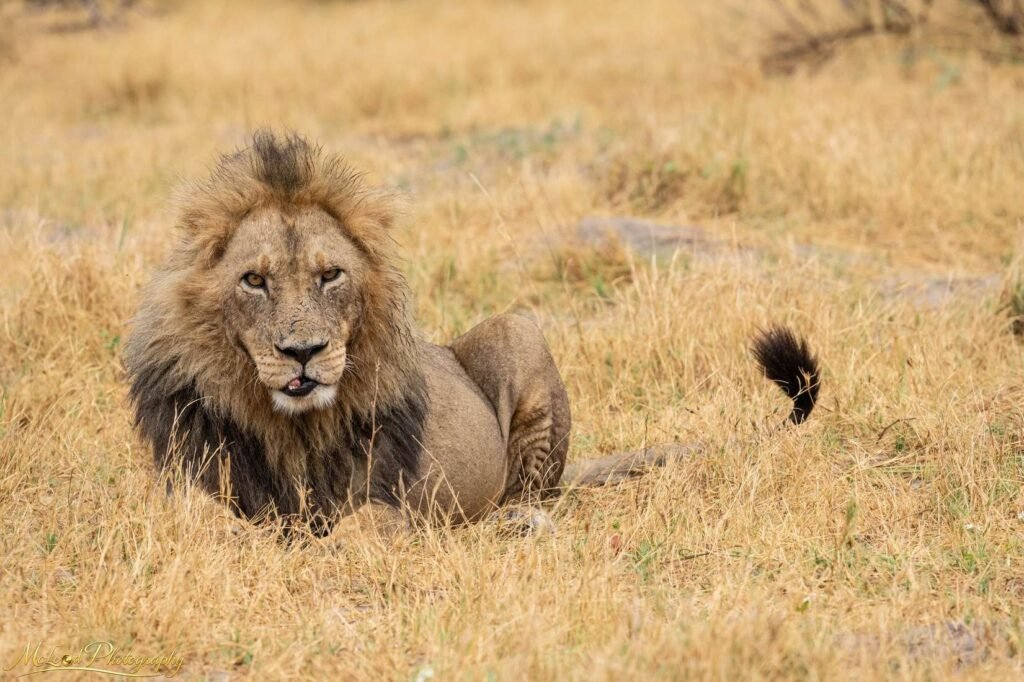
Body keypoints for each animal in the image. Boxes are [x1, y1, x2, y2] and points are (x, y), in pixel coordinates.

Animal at [124, 130, 821, 537]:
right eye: (253, 281)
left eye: (330, 275)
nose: (304, 354)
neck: (289, 426)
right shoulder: (187, 481)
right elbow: (203, 523)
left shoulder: (391, 498)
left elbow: (360, 528)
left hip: (517, 333)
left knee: (530, 494)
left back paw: (512, 524)